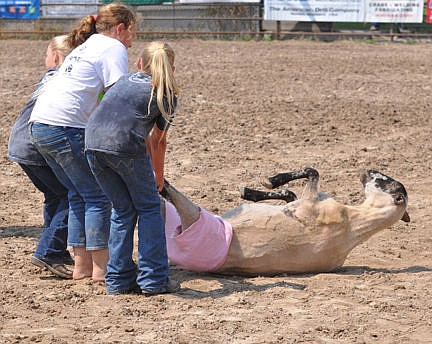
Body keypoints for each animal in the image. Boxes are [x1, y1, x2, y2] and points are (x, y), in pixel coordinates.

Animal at [161, 168, 408, 276]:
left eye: (387, 181)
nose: (368, 170)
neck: (354, 223)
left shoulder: (309, 202)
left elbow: (311, 171)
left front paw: (267, 181)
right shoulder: (302, 201)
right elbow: (289, 192)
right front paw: (252, 191)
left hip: (192, 216)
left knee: (169, 194)